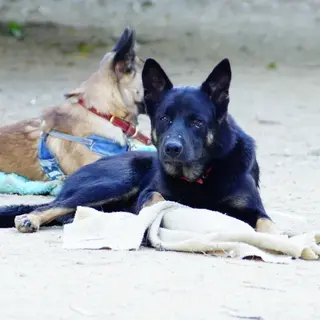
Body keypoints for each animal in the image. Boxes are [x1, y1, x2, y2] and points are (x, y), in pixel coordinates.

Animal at [0, 57, 278, 234]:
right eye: (164, 118)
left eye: (197, 121)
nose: (172, 148)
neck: (200, 176)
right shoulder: (150, 191)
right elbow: (154, 197)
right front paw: (148, 212)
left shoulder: (255, 210)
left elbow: (269, 225)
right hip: (116, 181)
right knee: (54, 205)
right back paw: (30, 218)